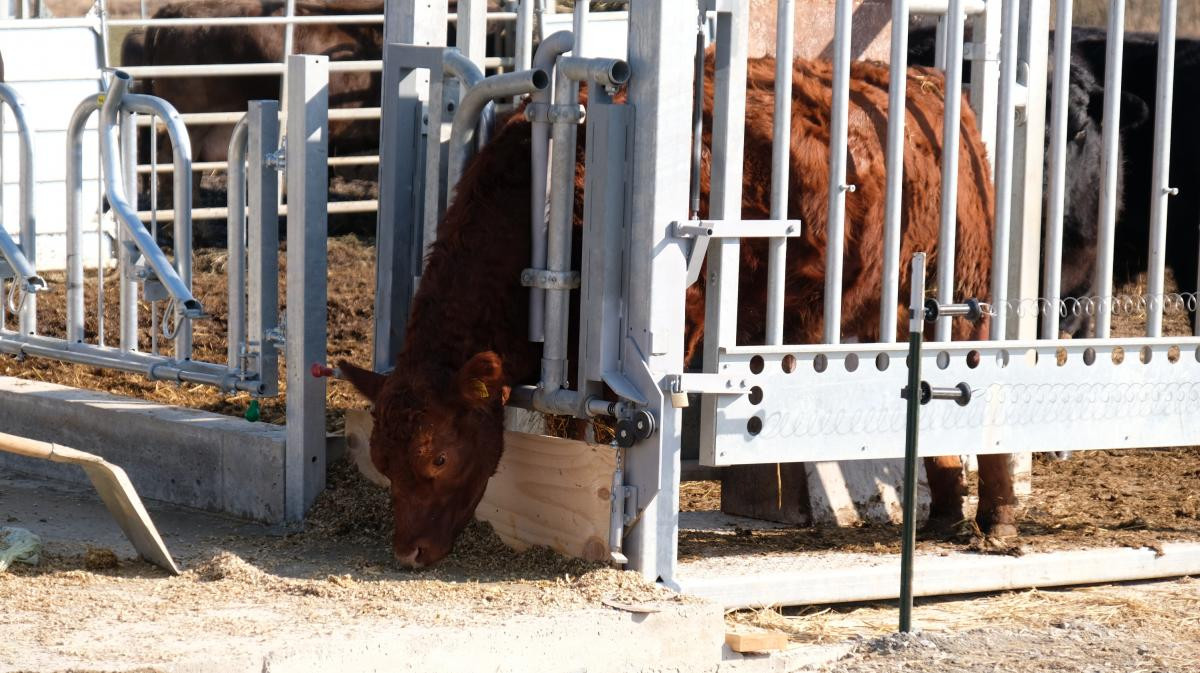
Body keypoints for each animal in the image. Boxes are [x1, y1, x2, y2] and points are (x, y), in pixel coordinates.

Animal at [340, 56, 1012, 566]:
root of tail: (922, 79)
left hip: (963, 283)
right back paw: (946, 509)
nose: (407, 554)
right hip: (889, 304)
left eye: (439, 458)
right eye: (382, 462)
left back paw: (998, 516)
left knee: (985, 377)